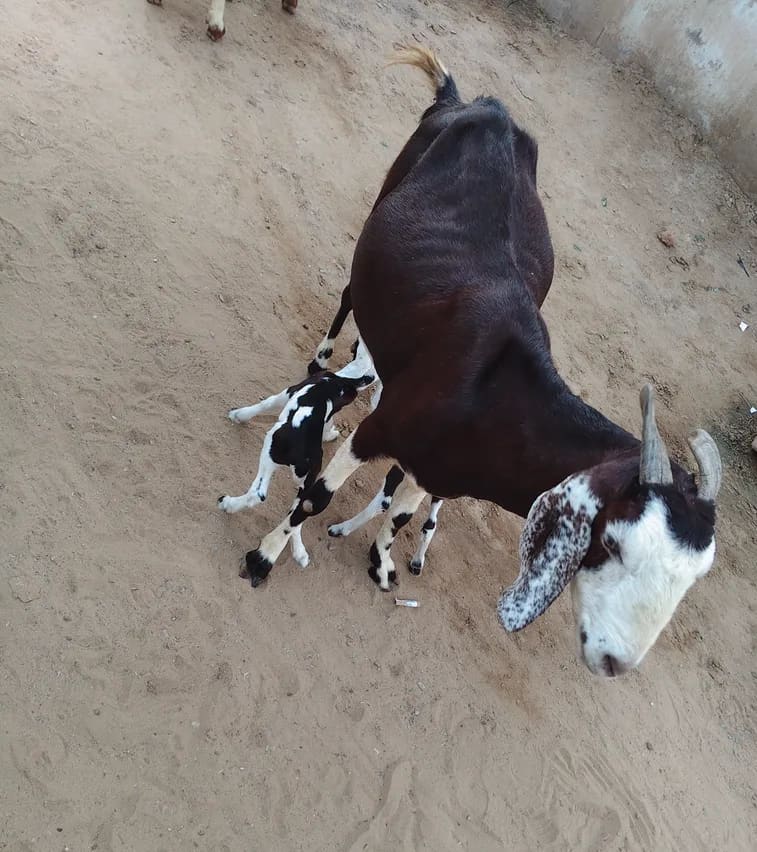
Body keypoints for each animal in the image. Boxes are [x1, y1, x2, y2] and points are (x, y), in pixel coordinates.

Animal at [238, 46, 722, 677]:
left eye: (693, 577)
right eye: (614, 542)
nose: (615, 659)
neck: (496, 399)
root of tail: (477, 104)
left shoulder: (438, 469)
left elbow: (401, 514)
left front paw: (382, 563)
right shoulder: (380, 431)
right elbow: (316, 496)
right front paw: (263, 557)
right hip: (385, 195)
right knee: (349, 292)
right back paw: (324, 356)